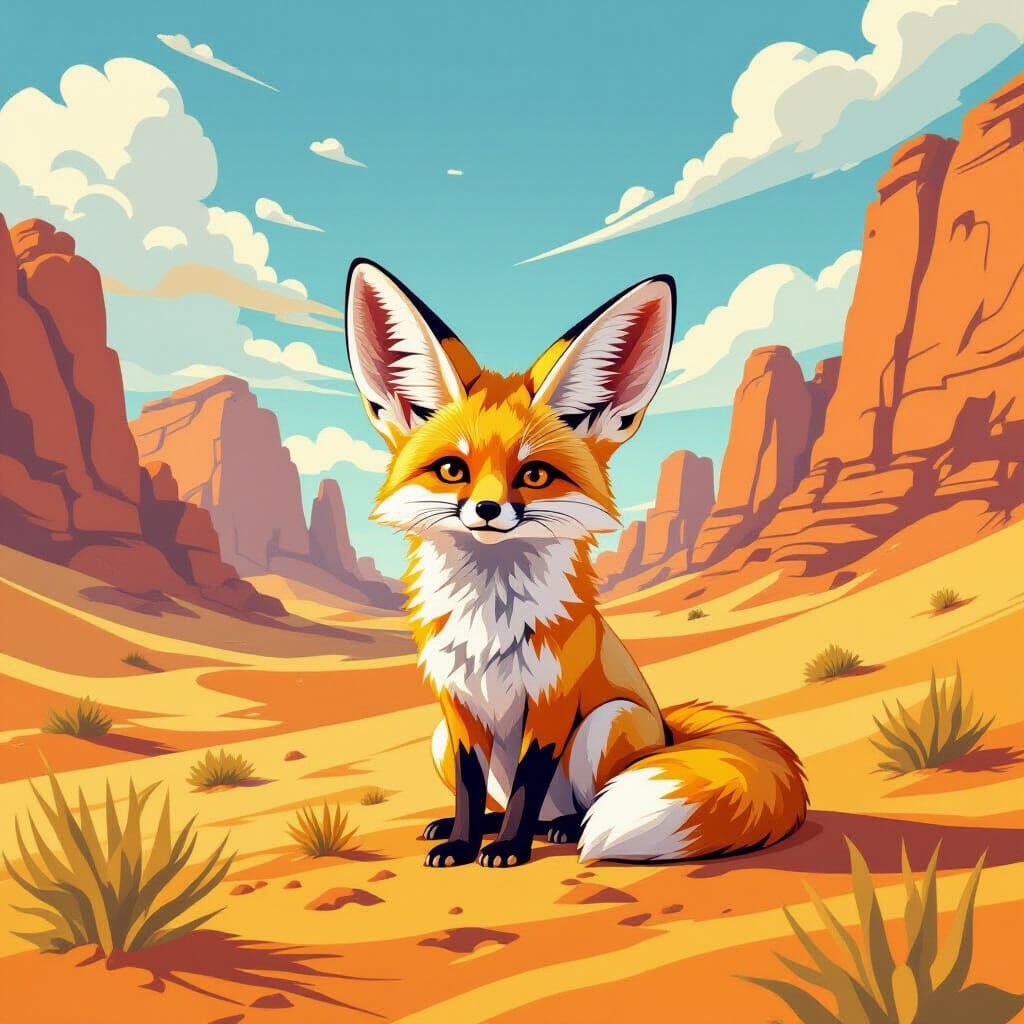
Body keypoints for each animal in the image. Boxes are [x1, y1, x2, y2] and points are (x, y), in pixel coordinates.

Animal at [345, 260, 808, 868]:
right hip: (439, 738)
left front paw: (507, 849)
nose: (488, 511)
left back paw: (561, 828)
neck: (490, 623)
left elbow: (528, 781)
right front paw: (463, 843)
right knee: (493, 797)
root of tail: (669, 731)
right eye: (452, 470)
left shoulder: (552, 699)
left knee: (570, 806)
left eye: (535, 475)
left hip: (607, 724)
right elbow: (470, 787)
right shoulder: (458, 704)